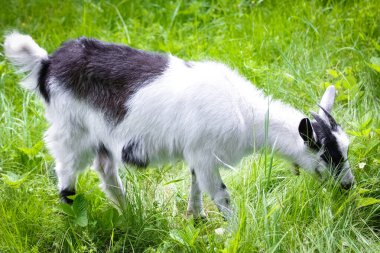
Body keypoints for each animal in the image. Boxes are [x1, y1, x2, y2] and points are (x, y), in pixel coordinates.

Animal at [2, 32, 354, 218]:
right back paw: (72, 213)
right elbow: (221, 195)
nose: (349, 185)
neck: (246, 114)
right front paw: (236, 228)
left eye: (346, 149)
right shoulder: (205, 155)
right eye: (326, 154)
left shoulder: (197, 154)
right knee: (66, 168)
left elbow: (196, 185)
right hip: (71, 129)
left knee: (105, 168)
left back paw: (127, 213)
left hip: (102, 135)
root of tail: (47, 64)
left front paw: (196, 219)